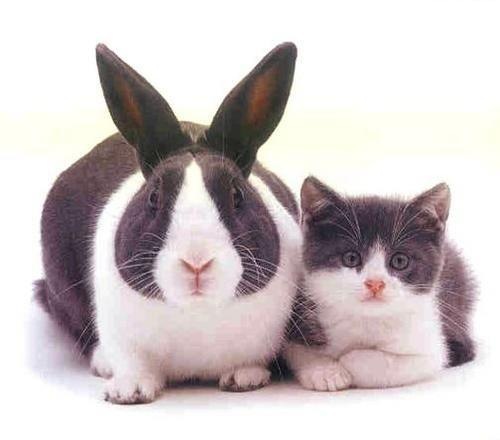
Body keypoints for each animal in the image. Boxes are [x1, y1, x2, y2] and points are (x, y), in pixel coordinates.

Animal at [35, 42, 302, 404]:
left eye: (237, 196)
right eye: (153, 198)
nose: (196, 262)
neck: (195, 312)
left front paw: (244, 377)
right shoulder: (122, 334)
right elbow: (133, 362)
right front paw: (129, 390)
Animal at [284, 176, 476, 391]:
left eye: (400, 261)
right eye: (351, 258)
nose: (375, 283)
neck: (367, 319)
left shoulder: (429, 347)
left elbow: (387, 363)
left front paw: (346, 361)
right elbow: (298, 350)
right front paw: (325, 371)